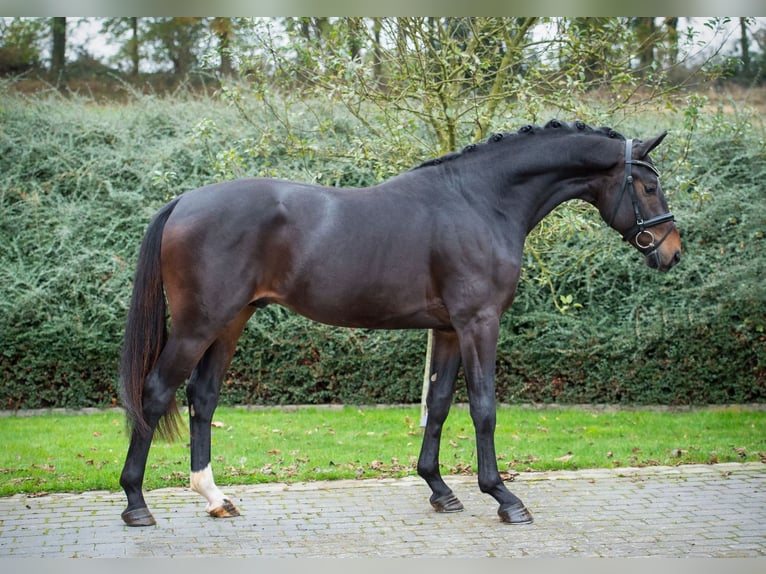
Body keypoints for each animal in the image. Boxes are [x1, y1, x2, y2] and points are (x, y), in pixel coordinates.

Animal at [117, 119, 680, 528]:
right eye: (649, 186)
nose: (671, 250)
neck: (481, 201)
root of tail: (184, 201)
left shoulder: (449, 329)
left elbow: (439, 404)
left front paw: (440, 489)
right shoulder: (479, 323)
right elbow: (483, 408)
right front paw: (503, 497)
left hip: (230, 321)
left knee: (203, 396)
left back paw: (215, 497)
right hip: (199, 324)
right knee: (155, 392)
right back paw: (136, 503)